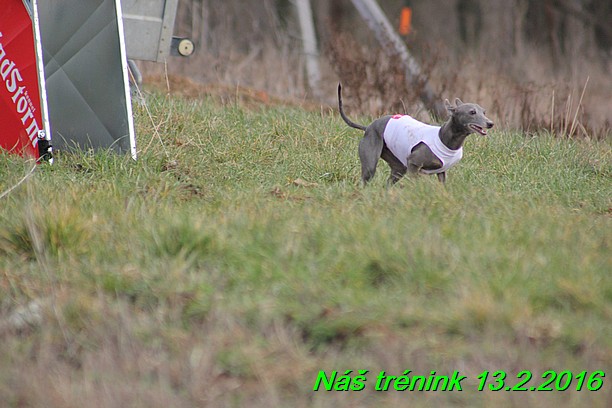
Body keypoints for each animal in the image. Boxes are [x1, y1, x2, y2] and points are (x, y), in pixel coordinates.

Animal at [338, 83, 494, 186]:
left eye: (484, 112)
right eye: (472, 112)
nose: (490, 123)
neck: (444, 139)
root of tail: (368, 127)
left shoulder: (441, 173)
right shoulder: (413, 164)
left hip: (398, 167)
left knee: (388, 183)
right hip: (371, 163)